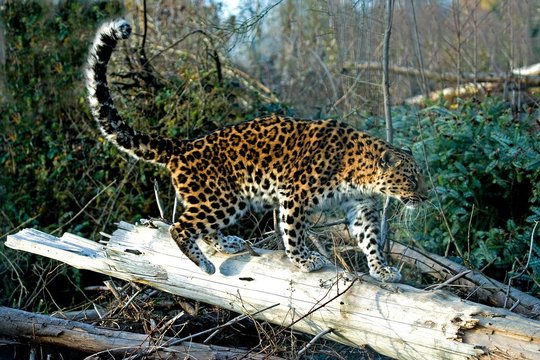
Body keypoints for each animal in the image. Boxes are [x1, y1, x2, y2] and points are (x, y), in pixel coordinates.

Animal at [86, 19, 428, 282]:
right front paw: (305, 261)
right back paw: (205, 264)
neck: (360, 173)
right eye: (411, 179)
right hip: (221, 198)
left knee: (204, 230)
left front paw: (382, 269)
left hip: (227, 201)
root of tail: (183, 146)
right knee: (179, 227)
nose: (425, 198)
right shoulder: (295, 194)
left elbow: (370, 239)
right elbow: (293, 232)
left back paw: (227, 243)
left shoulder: (359, 206)